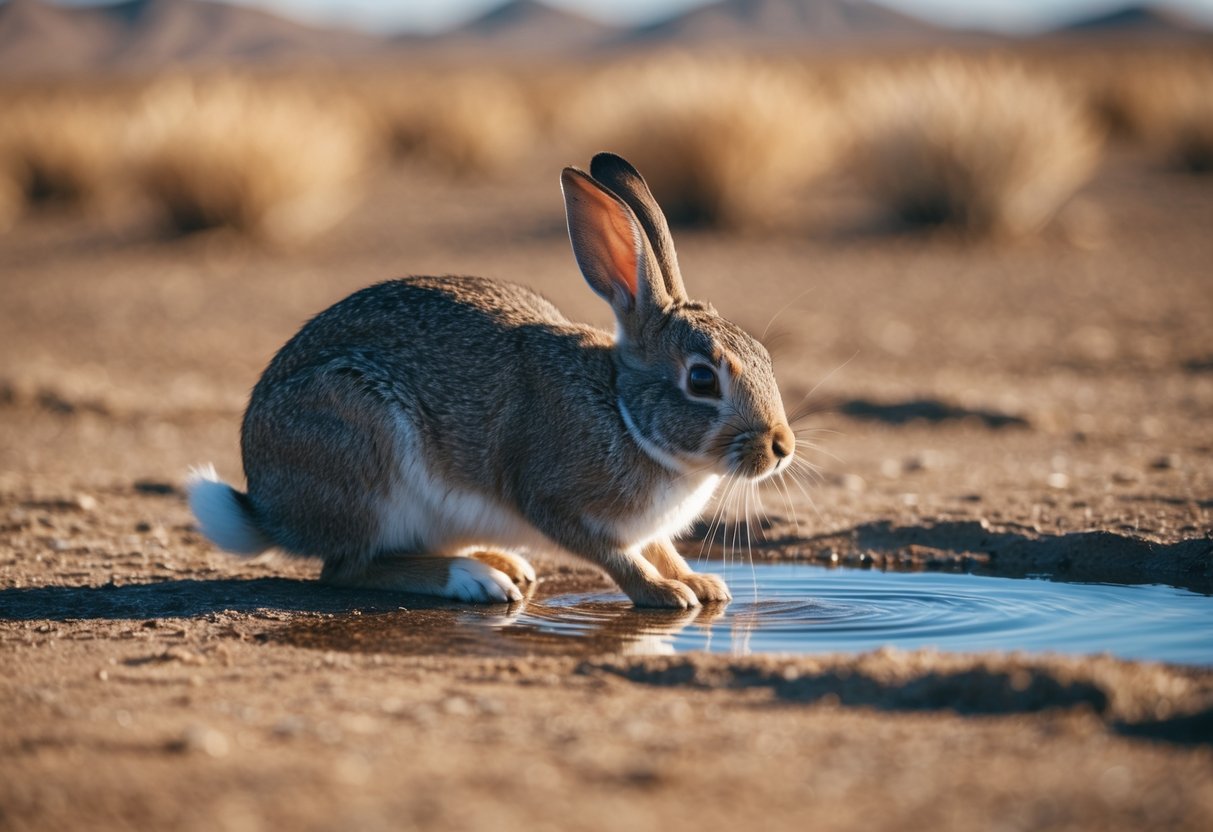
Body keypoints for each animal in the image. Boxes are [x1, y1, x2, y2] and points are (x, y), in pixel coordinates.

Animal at [188, 152, 795, 609]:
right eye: (702, 379)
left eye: (765, 357)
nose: (781, 446)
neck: (624, 413)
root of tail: (269, 508)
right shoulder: (552, 499)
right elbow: (615, 557)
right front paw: (667, 595)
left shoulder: (646, 527)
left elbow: (661, 548)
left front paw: (701, 583)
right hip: (364, 447)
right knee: (346, 569)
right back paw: (475, 579)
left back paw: (500, 562)